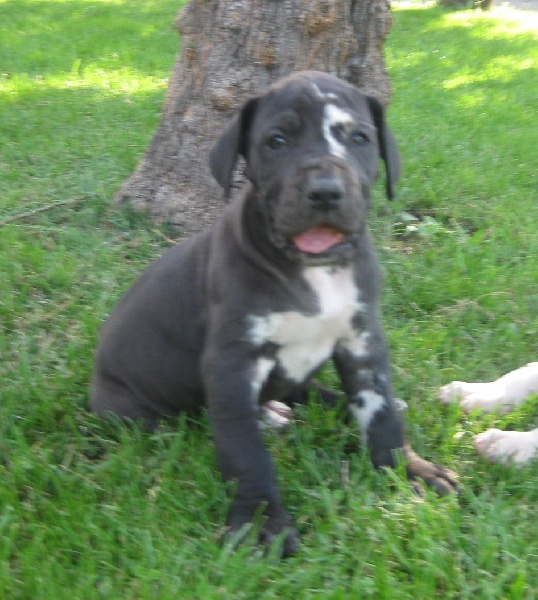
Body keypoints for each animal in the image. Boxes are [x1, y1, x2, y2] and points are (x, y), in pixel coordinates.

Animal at [91, 71, 459, 555]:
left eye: (359, 138)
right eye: (276, 141)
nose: (325, 192)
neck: (313, 270)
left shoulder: (363, 343)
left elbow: (378, 412)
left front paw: (407, 468)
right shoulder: (232, 362)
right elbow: (243, 448)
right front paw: (261, 520)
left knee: (309, 392)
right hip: (131, 410)